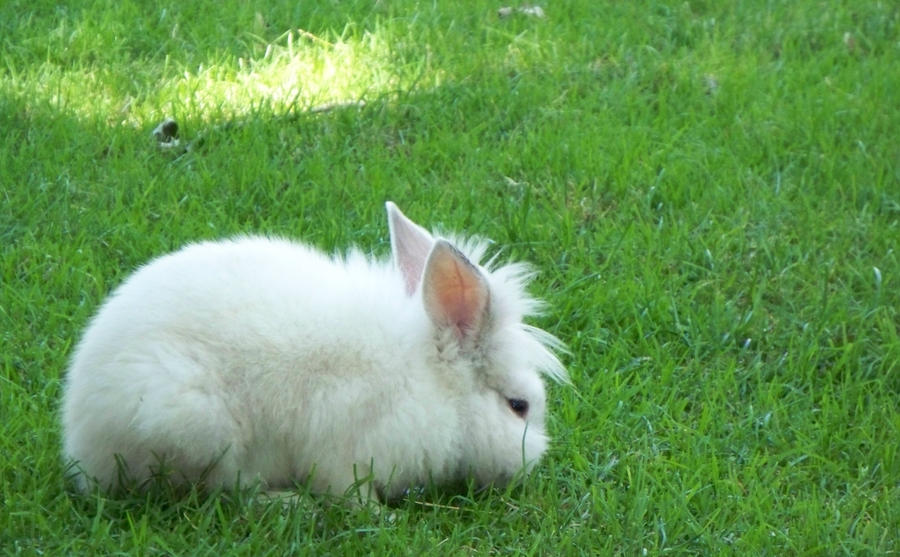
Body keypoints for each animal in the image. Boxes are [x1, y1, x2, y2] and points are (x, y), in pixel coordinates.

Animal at [60, 202, 567, 501]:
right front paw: (380, 515)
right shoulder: (351, 450)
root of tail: (79, 441)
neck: (430, 379)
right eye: (518, 406)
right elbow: (349, 492)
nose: (530, 466)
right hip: (192, 423)